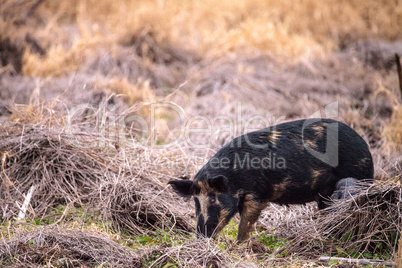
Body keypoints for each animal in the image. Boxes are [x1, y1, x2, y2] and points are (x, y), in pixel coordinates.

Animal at [167, 118, 374, 242]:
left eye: (213, 199)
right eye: (195, 202)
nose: (201, 234)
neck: (234, 177)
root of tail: (366, 147)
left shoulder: (256, 195)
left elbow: (245, 224)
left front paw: (238, 246)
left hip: (358, 176)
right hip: (325, 193)